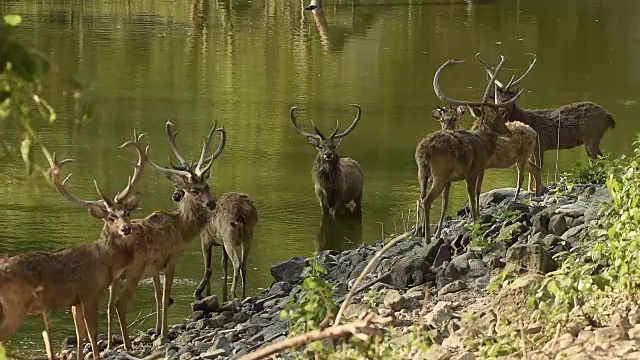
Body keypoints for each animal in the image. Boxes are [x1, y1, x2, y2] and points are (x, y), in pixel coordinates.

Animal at [0, 139, 142, 360]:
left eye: (127, 212)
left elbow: (79, 333)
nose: (126, 229)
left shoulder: (75, 301)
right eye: (110, 217)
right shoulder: (88, 292)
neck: (104, 261)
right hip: (15, 306)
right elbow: (92, 332)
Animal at [104, 120, 224, 348]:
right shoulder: (172, 258)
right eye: (193, 190)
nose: (211, 204)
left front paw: (158, 332)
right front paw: (164, 335)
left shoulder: (154, 268)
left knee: (107, 305)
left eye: (207, 186)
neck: (182, 229)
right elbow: (165, 295)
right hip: (132, 272)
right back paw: (126, 345)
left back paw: (108, 346)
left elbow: (157, 294)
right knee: (118, 304)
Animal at [416, 57, 524, 242]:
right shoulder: (473, 170)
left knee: (422, 196)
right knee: (427, 200)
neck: (484, 143)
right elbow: (472, 196)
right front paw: (475, 222)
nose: (508, 132)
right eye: (497, 117)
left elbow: (448, 201)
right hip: (439, 173)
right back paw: (427, 238)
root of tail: (424, 151)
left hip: (422, 172)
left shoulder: (455, 178)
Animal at [476, 53, 616, 188]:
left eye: (510, 99)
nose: (501, 112)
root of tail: (609, 117)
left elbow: (538, 168)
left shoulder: (540, 144)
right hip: (588, 141)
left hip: (592, 137)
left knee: (603, 159)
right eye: (496, 99)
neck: (527, 120)